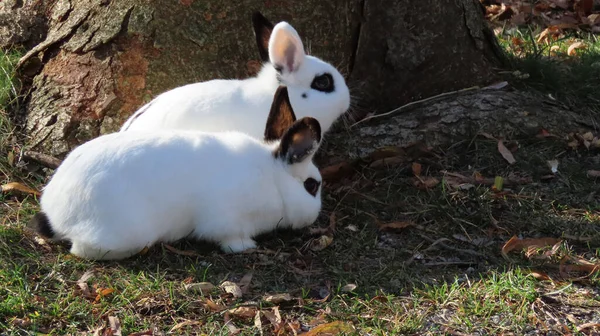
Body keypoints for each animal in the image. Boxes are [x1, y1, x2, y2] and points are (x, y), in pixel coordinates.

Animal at [27, 86, 322, 260]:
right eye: (312, 185)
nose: (314, 217)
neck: (272, 178)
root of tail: (56, 213)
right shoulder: (225, 220)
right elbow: (227, 237)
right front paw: (247, 246)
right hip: (123, 234)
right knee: (80, 249)